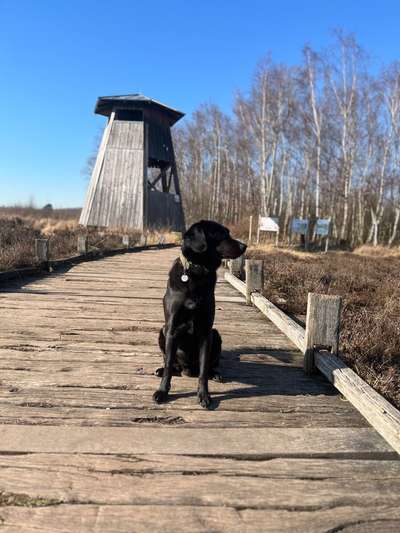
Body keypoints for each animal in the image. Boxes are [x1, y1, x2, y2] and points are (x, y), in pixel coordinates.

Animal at [153, 220, 247, 408]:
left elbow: (203, 371)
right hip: (162, 331)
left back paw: (215, 374)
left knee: (208, 366)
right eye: (221, 234)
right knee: (171, 364)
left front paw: (204, 395)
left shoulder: (205, 331)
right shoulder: (172, 329)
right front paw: (162, 392)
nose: (244, 246)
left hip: (215, 334)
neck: (197, 271)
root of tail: (188, 370)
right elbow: (168, 366)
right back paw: (161, 370)